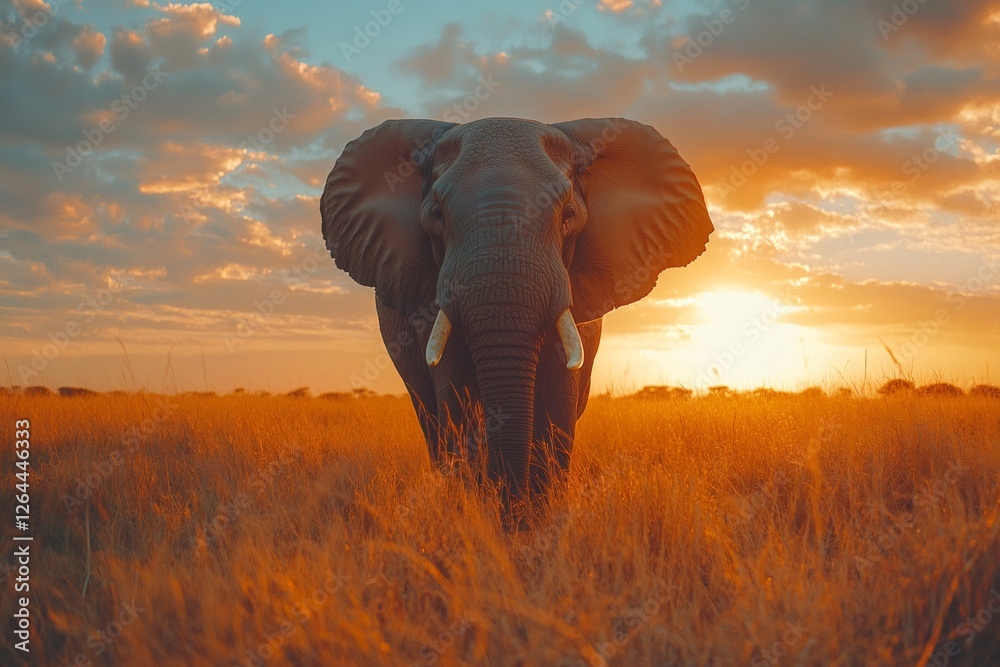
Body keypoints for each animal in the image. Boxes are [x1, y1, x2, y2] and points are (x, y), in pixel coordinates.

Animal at [320, 117, 713, 515]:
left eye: (568, 216)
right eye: (437, 217)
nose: (510, 507)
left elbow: (557, 404)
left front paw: (538, 517)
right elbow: (458, 402)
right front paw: (481, 513)